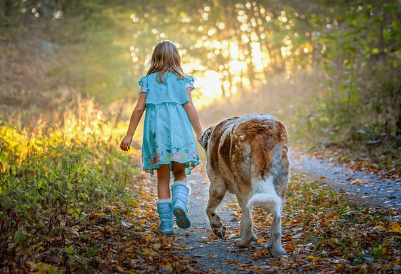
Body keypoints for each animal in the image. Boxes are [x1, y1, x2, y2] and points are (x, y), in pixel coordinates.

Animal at [199, 114, 288, 256]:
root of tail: (261, 130)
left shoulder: (217, 184)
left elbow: (209, 209)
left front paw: (218, 228)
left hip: (243, 187)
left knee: (248, 220)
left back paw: (243, 242)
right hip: (280, 186)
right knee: (276, 220)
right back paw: (276, 249)